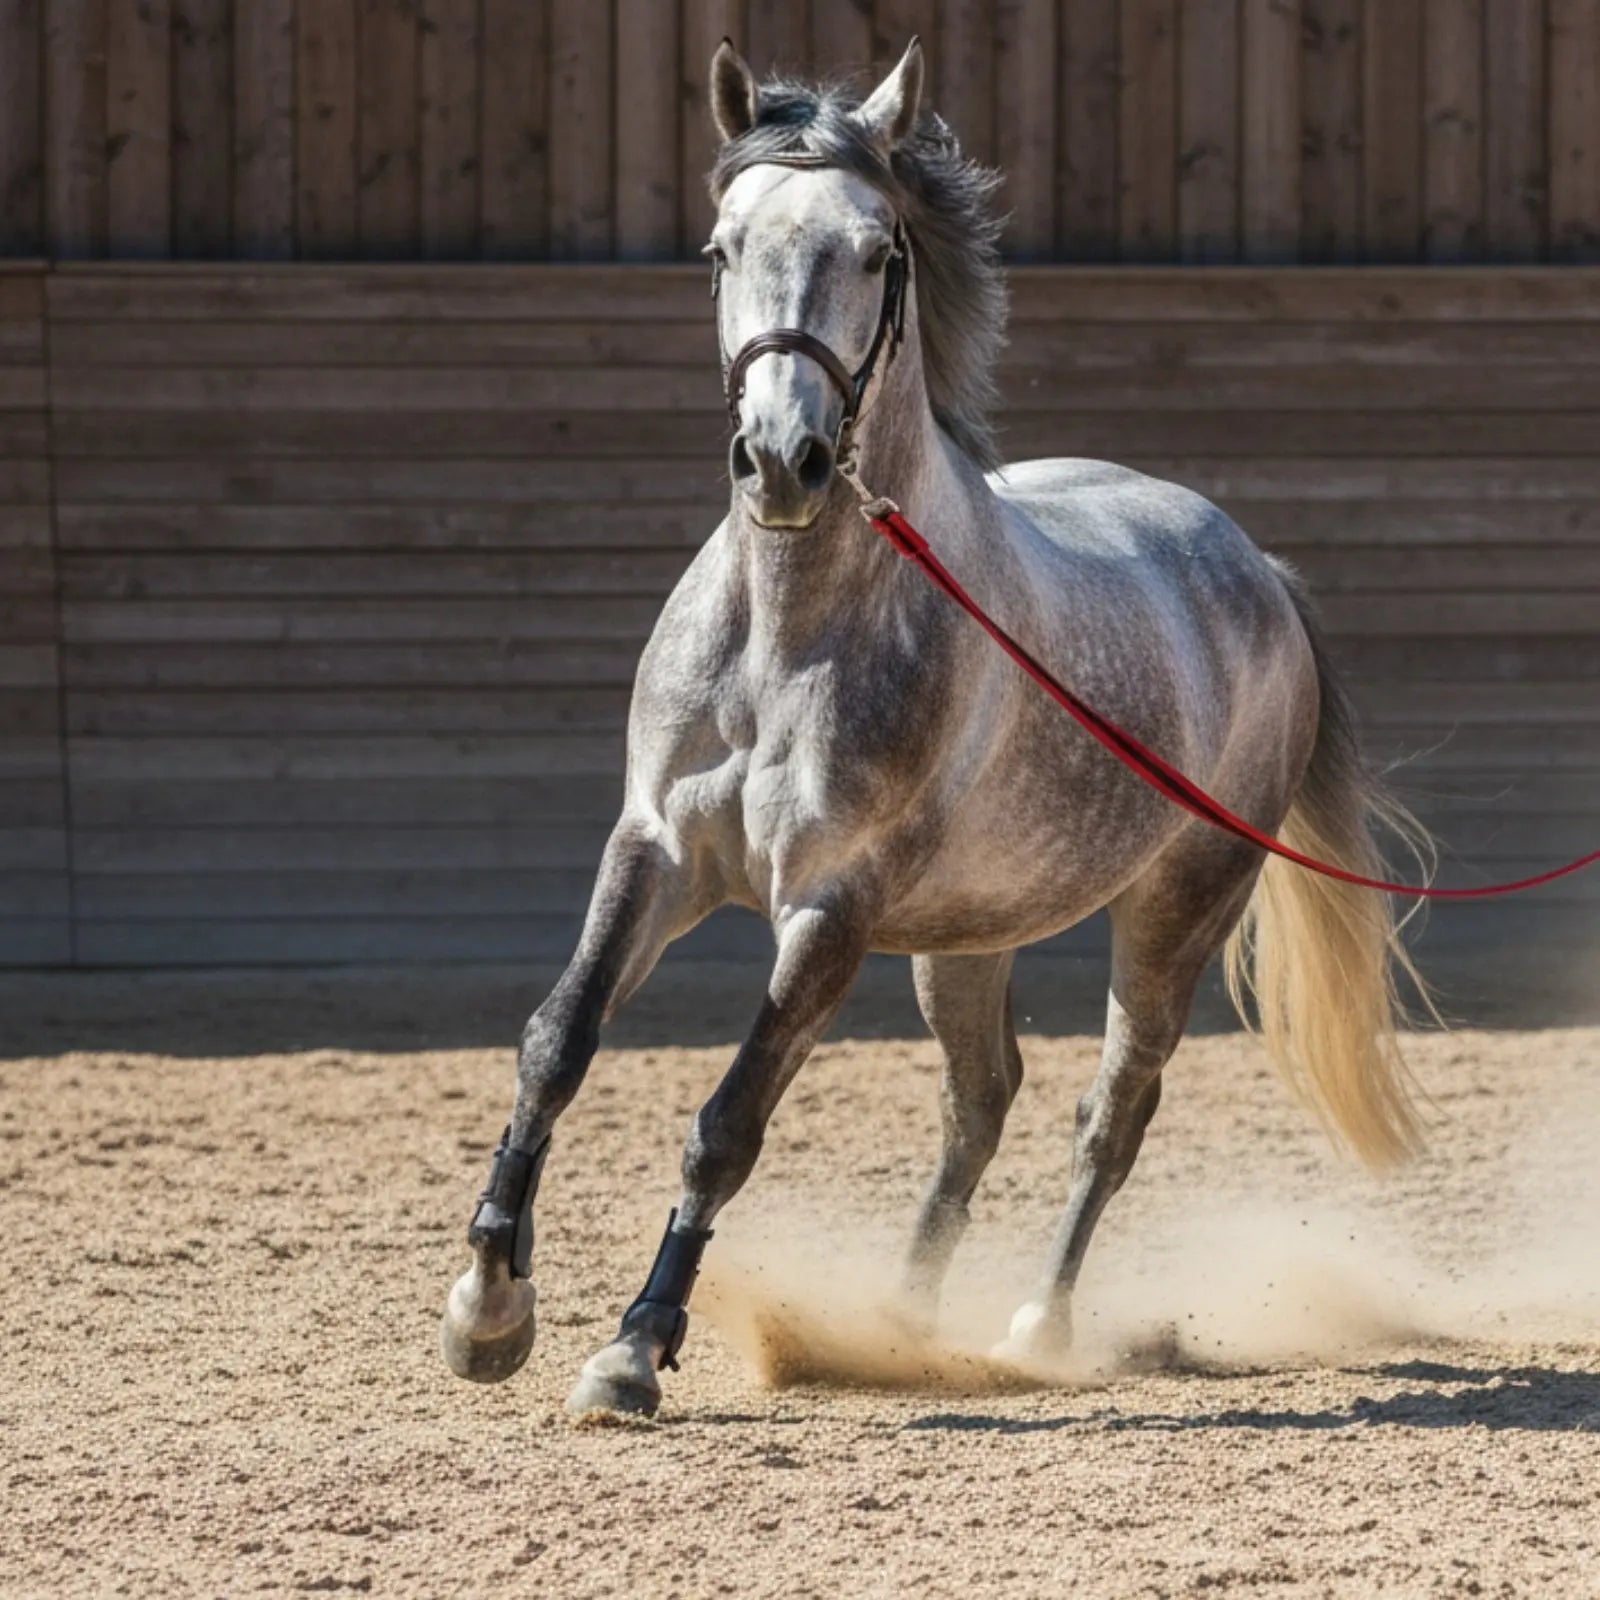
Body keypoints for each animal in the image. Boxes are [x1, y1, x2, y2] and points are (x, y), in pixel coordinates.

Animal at [440, 37, 1430, 1420]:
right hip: (966, 935)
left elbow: (727, 1121)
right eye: (720, 249)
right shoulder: (655, 853)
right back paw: (903, 1326)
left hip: (1178, 908)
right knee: (981, 1099)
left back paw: (1032, 1328)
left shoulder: (831, 911)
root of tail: (1258, 571)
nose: (783, 461)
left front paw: (633, 1348)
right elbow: (555, 1043)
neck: (787, 638)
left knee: (1109, 1113)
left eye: (875, 252)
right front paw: (487, 1309)